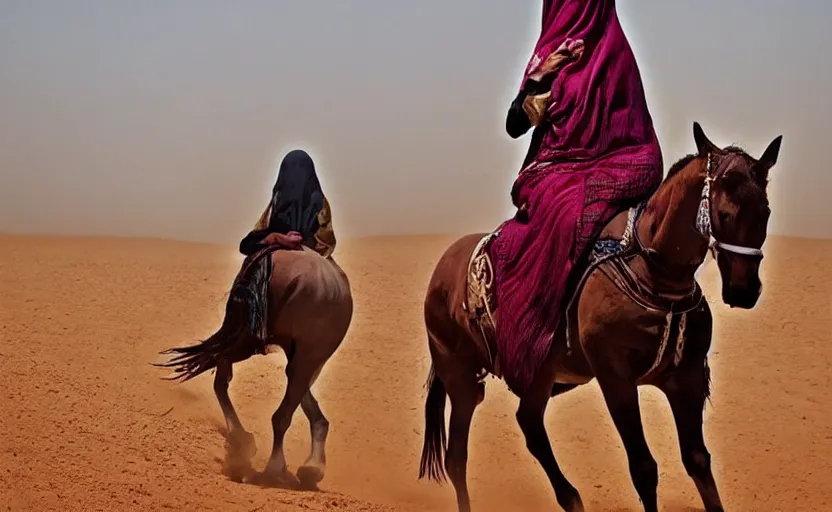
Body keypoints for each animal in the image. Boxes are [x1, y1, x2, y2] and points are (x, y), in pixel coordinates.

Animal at [155, 246, 352, 490]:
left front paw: (311, 467)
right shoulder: (309, 353)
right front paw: (312, 468)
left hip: (245, 339)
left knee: (221, 379)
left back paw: (244, 444)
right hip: (282, 347)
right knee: (279, 413)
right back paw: (273, 467)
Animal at [420, 123, 784, 512]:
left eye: (765, 212)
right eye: (726, 213)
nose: (744, 290)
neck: (654, 274)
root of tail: (441, 271)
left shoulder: (685, 377)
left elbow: (698, 461)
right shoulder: (615, 377)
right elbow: (644, 468)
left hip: (537, 375)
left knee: (527, 424)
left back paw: (571, 498)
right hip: (459, 374)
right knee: (458, 456)